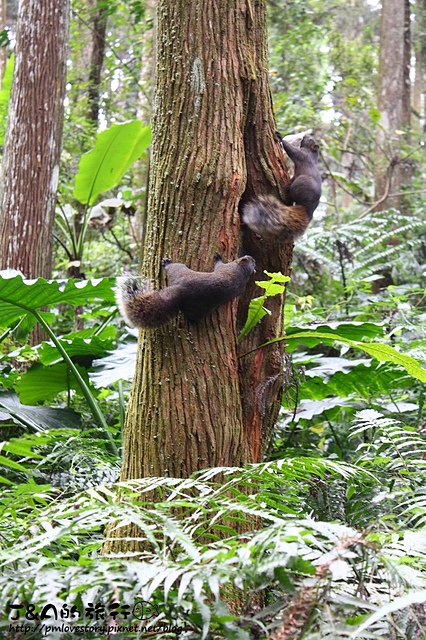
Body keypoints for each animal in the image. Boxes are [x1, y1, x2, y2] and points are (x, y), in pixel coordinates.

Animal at [116, 252, 255, 328]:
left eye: (248, 258)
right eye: (251, 261)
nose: (250, 256)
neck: (242, 272)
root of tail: (180, 289)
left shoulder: (226, 267)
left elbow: (219, 265)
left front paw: (218, 258)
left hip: (179, 271)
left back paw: (166, 263)